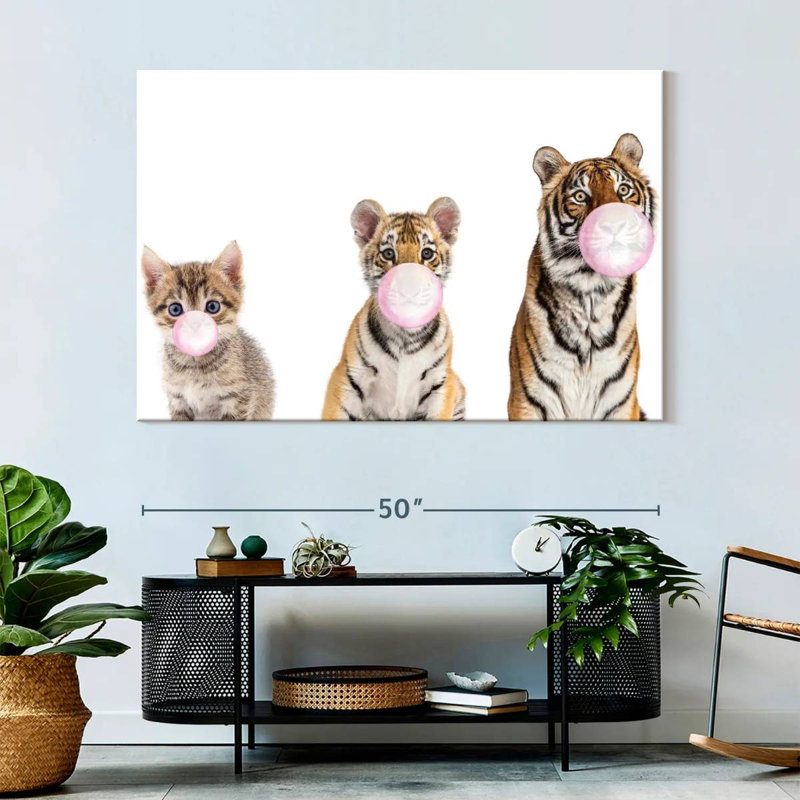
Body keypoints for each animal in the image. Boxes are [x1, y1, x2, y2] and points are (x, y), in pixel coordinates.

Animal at [322, 197, 466, 421]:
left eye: (427, 253)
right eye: (388, 253)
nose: (409, 288)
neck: (405, 332)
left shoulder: (440, 385)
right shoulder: (346, 381)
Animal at [508, 133, 656, 421]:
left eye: (623, 190)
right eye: (580, 196)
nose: (614, 223)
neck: (592, 292)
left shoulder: (622, 404)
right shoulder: (527, 402)